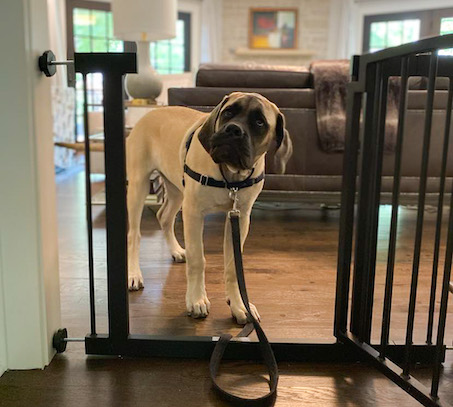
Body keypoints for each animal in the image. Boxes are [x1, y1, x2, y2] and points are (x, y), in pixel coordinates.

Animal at [125, 93, 292, 326]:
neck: (230, 176)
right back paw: (134, 273)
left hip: (177, 189)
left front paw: (239, 305)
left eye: (259, 122)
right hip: (139, 184)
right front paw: (196, 300)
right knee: (134, 233)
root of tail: (149, 114)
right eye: (228, 112)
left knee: (164, 216)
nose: (233, 130)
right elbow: (198, 259)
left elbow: (233, 265)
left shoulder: (240, 217)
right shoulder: (194, 212)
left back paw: (176, 250)